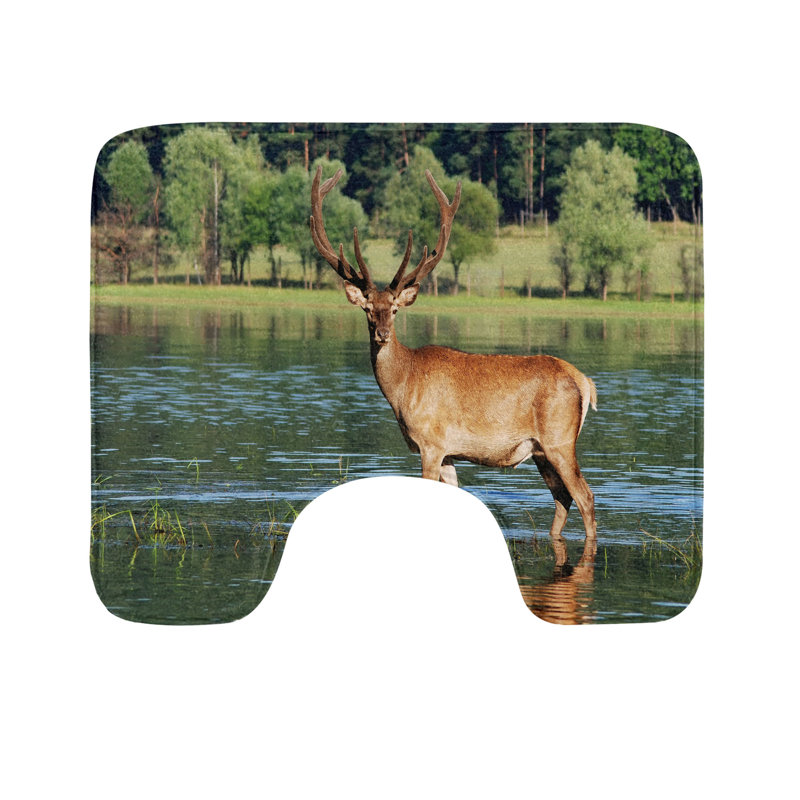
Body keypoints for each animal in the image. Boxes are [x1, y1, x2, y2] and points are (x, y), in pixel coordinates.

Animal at [309, 166, 598, 543]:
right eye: (368, 309)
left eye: (395, 310)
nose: (382, 334)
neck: (403, 386)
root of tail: (585, 382)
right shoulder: (449, 453)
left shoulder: (431, 442)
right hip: (540, 451)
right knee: (563, 497)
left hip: (560, 440)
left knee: (585, 496)